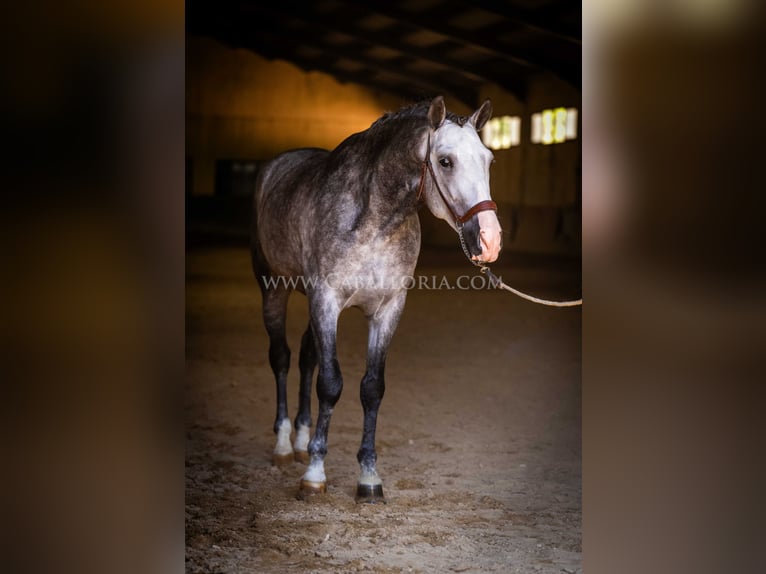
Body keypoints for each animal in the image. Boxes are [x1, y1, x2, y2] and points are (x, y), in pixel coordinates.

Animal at [250, 97, 504, 502]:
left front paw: (368, 477)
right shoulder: (327, 302)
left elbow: (372, 388)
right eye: (445, 161)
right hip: (274, 290)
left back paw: (303, 439)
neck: (373, 221)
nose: (490, 240)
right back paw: (285, 446)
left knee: (306, 359)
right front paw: (315, 475)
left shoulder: (387, 310)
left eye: (489, 160)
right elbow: (330, 385)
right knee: (282, 358)